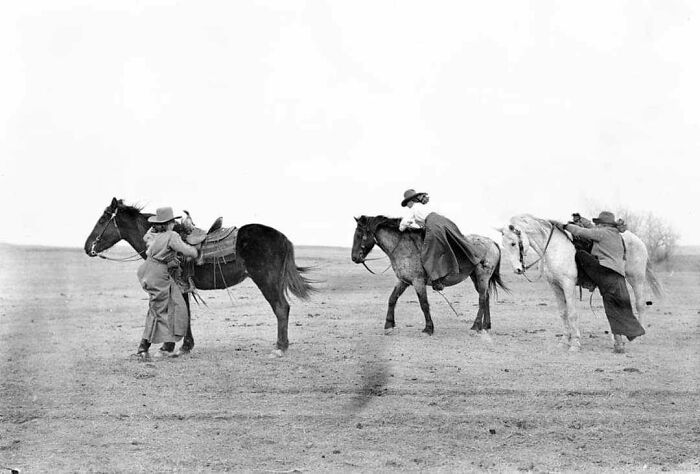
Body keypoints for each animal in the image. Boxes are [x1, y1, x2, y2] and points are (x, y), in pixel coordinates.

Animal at [84, 198, 314, 357]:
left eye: (103, 219)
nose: (87, 247)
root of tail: (282, 237)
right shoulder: (182, 287)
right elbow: (184, 313)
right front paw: (183, 346)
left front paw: (168, 347)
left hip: (267, 281)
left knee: (281, 308)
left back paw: (280, 348)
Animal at [351, 215, 508, 335]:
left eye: (359, 235)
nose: (354, 258)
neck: (402, 247)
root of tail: (492, 242)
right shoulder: (404, 281)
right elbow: (392, 299)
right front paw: (389, 325)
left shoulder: (418, 281)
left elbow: (424, 304)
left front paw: (428, 328)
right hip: (475, 277)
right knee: (486, 297)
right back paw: (485, 325)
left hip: (482, 276)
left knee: (481, 299)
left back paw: (475, 326)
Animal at [499, 214, 663, 351]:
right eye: (503, 245)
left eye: (513, 243)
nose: (518, 269)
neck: (555, 247)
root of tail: (639, 241)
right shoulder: (555, 287)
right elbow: (563, 313)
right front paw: (564, 341)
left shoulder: (568, 284)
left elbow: (572, 314)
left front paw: (575, 343)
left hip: (636, 279)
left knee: (640, 305)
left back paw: (637, 337)